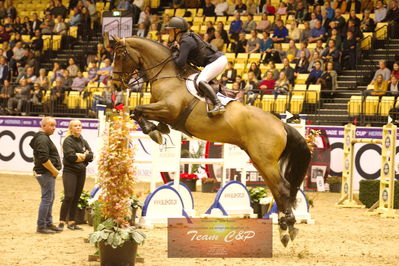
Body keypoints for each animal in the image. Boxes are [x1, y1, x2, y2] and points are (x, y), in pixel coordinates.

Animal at [111, 35, 312, 247]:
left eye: (120, 55)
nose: (115, 85)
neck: (167, 74)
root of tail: (281, 125)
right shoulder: (162, 110)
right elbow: (138, 112)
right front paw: (157, 130)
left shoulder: (168, 109)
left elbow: (138, 109)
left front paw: (153, 131)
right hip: (261, 161)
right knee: (277, 190)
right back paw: (285, 228)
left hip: (265, 161)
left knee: (282, 188)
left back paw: (287, 228)